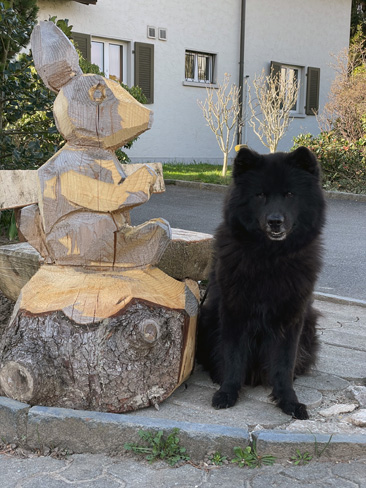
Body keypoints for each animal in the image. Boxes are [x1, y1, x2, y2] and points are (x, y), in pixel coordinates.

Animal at [197, 146, 326, 420]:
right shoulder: (233, 312)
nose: (275, 221)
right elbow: (233, 357)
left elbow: (285, 364)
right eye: (260, 195)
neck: (271, 258)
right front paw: (227, 392)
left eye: (289, 194)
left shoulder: (292, 318)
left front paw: (289, 401)